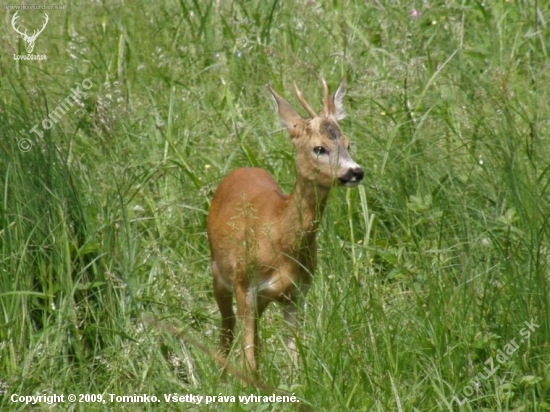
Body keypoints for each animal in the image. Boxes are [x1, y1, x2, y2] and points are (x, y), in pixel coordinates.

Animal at [205, 79, 364, 372]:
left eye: (348, 143)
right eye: (319, 148)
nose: (355, 172)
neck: (279, 240)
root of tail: (240, 170)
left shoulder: (298, 292)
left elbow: (295, 356)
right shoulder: (245, 285)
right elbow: (248, 359)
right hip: (219, 273)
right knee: (227, 328)